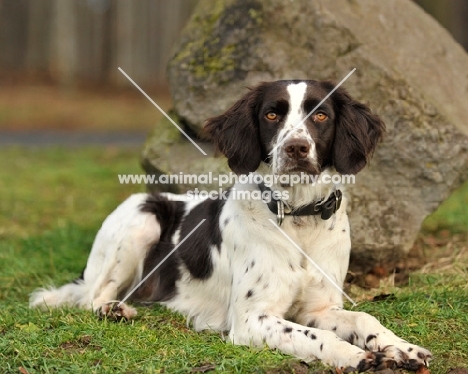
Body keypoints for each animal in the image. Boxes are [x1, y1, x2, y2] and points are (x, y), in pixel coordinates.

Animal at [29, 80, 432, 370]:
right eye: (271, 115)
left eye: (320, 117)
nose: (296, 149)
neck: (299, 219)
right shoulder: (252, 319)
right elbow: (314, 338)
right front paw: (354, 355)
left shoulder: (319, 310)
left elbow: (364, 319)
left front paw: (401, 347)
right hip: (143, 216)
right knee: (92, 297)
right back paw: (113, 310)